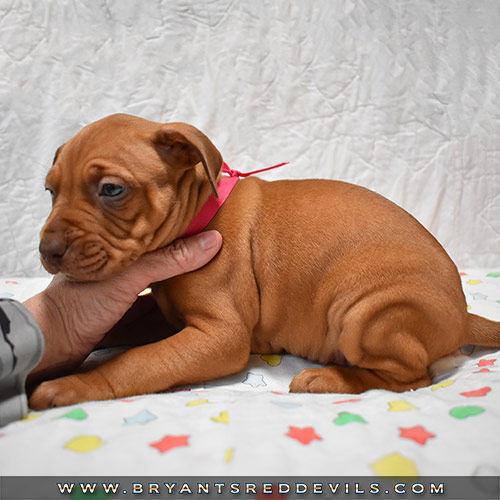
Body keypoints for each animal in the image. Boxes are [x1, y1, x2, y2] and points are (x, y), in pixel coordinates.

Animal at [28, 115, 500, 408]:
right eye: (50, 191)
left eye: (111, 189)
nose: (46, 251)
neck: (200, 215)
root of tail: (463, 315)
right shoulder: (163, 313)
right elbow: (118, 326)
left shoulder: (220, 334)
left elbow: (135, 362)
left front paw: (73, 384)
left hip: (366, 311)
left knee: (412, 379)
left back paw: (329, 378)